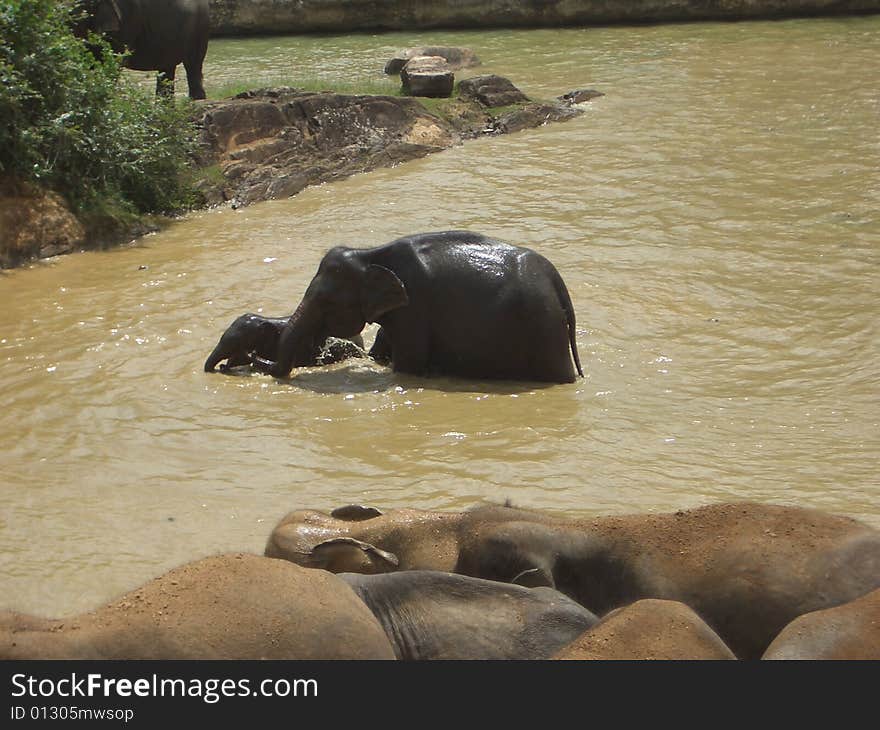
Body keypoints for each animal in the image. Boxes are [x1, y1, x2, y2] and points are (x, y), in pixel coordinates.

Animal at [75, 0, 210, 98]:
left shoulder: (126, 21)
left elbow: (112, 60)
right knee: (167, 70)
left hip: (199, 28)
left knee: (192, 65)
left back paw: (197, 99)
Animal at [249, 230, 584, 384]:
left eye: (326, 302)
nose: (252, 357)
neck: (369, 254)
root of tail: (556, 280)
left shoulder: (415, 310)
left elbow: (407, 366)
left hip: (543, 327)